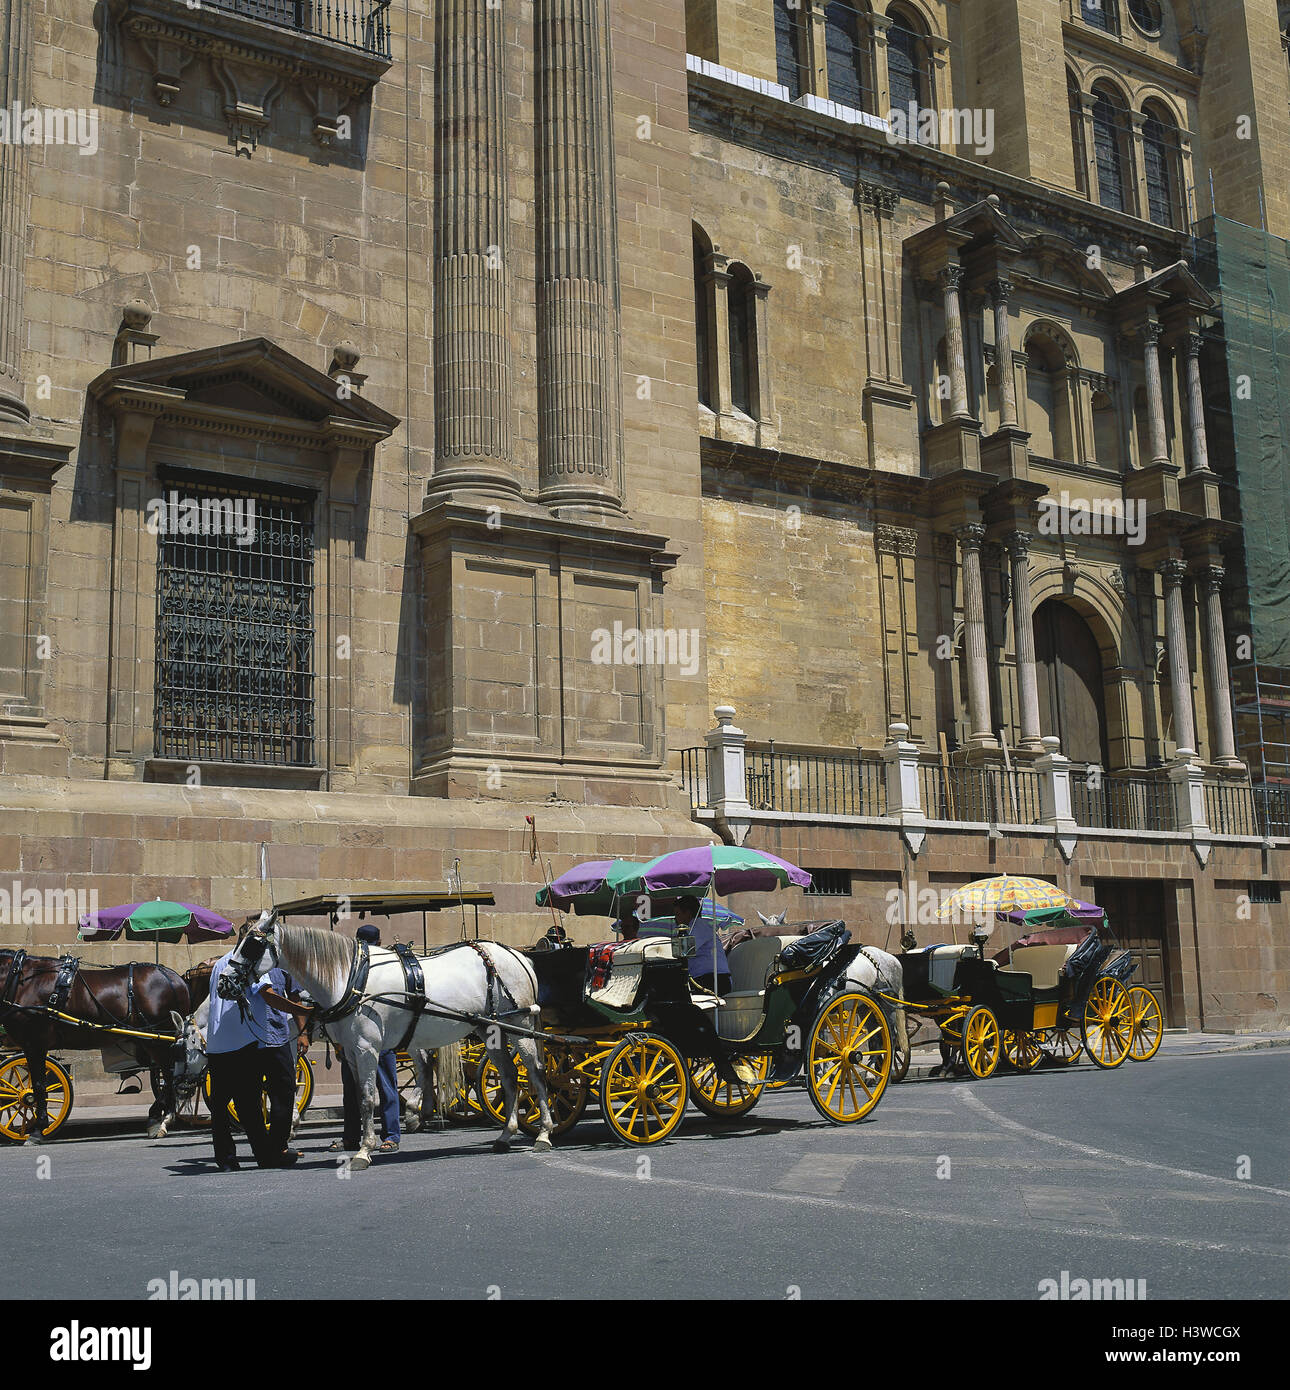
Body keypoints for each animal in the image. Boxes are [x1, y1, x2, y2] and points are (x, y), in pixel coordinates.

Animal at [0, 950, 189, 1145]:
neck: (21, 980)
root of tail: (174, 978)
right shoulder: (31, 1046)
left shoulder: (35, 1044)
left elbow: (38, 1086)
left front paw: (38, 1130)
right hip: (151, 1040)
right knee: (168, 1074)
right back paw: (158, 1117)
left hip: (158, 1039)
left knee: (170, 1075)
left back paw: (163, 1118)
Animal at [219, 917, 550, 1167]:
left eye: (251, 944)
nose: (224, 982)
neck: (351, 978)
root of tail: (518, 955)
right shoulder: (351, 1052)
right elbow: (359, 1098)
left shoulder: (367, 1048)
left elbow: (368, 1098)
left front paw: (364, 1151)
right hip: (490, 1029)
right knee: (509, 1076)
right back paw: (505, 1135)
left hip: (520, 1026)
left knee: (534, 1073)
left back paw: (544, 1134)